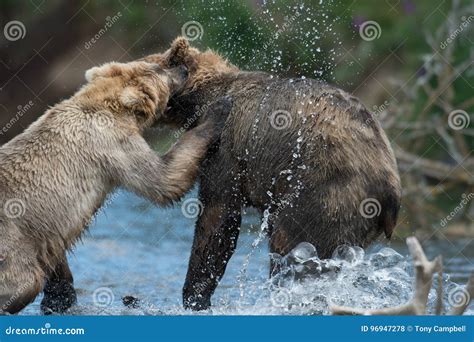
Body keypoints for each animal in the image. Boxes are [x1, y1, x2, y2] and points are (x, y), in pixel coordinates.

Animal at [0, 60, 231, 314]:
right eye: (160, 70)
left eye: (155, 64)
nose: (182, 69)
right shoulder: (112, 142)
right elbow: (163, 179)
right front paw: (219, 107)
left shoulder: (46, 233)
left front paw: (59, 298)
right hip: (11, 241)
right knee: (25, 281)